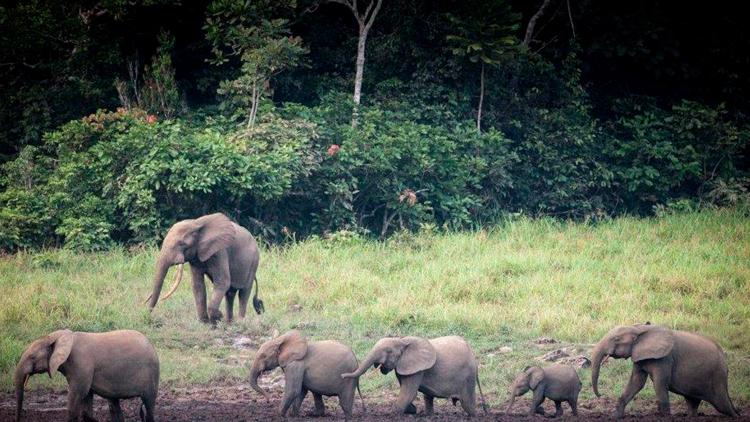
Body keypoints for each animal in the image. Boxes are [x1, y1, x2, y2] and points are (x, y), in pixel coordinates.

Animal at [14, 330, 159, 422]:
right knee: (113, 404)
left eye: (32, 357)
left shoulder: (81, 365)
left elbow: (77, 396)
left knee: (149, 404)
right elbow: (86, 399)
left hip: (151, 374)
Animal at [592, 324, 748, 418]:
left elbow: (659, 384)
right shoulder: (639, 355)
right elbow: (636, 383)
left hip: (717, 377)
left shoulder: (665, 359)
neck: (640, 328)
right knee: (693, 402)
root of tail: (725, 361)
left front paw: (665, 417)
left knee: (722, 405)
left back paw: (737, 417)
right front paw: (615, 417)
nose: (600, 395)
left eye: (616, 339)